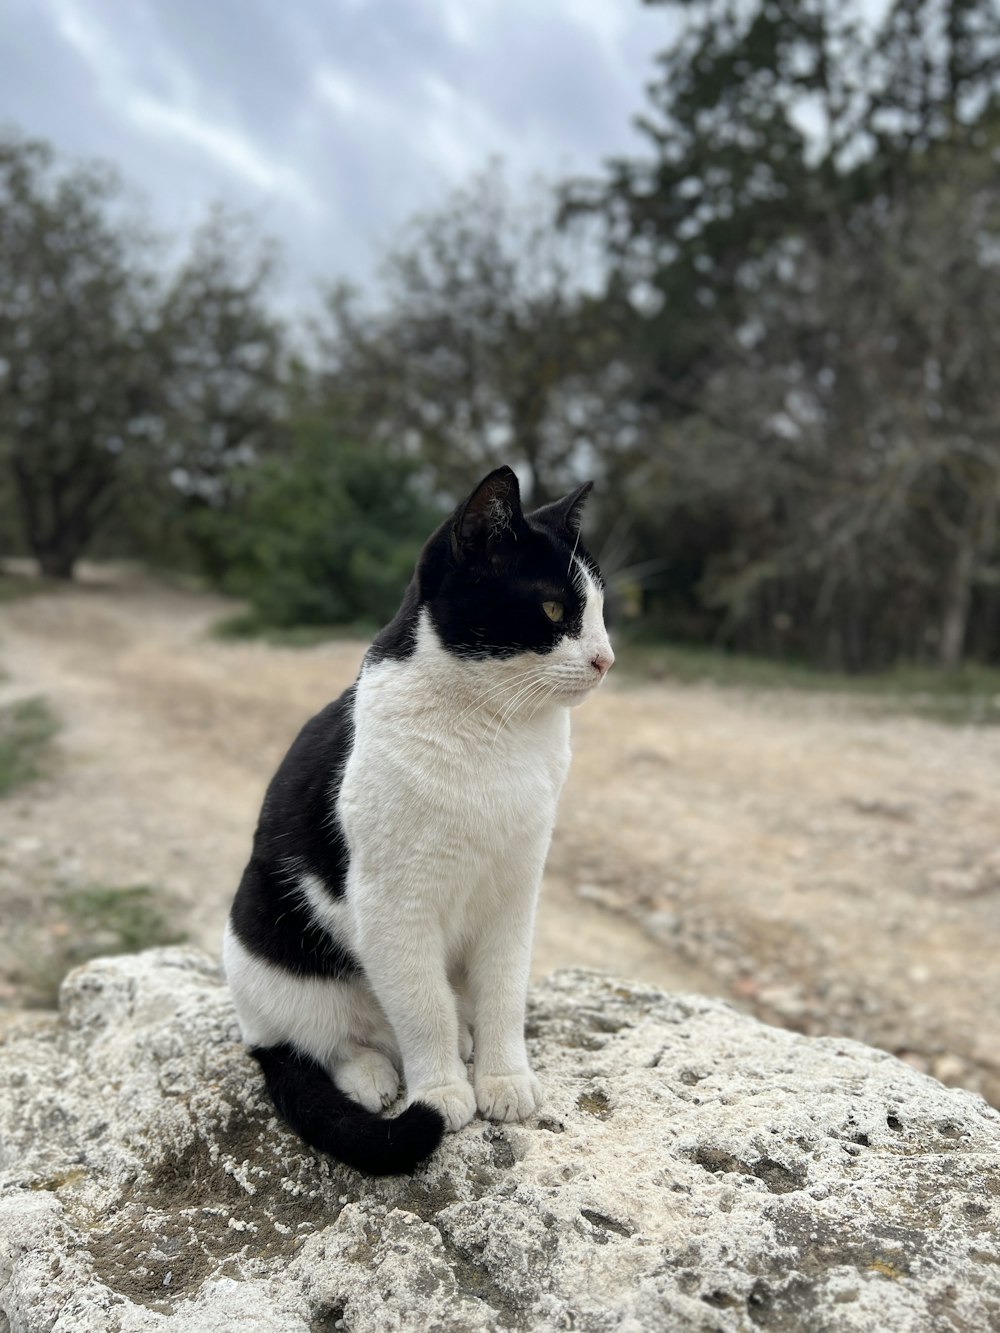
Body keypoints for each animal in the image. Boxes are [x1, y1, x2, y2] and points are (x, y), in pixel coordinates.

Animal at [222, 466, 616, 1178]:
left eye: (601, 610)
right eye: (553, 610)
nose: (606, 659)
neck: (498, 732)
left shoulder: (516, 891)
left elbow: (504, 993)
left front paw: (503, 1079)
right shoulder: (394, 907)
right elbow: (423, 1007)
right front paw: (441, 1094)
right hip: (261, 931)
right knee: (315, 1039)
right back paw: (373, 1075)